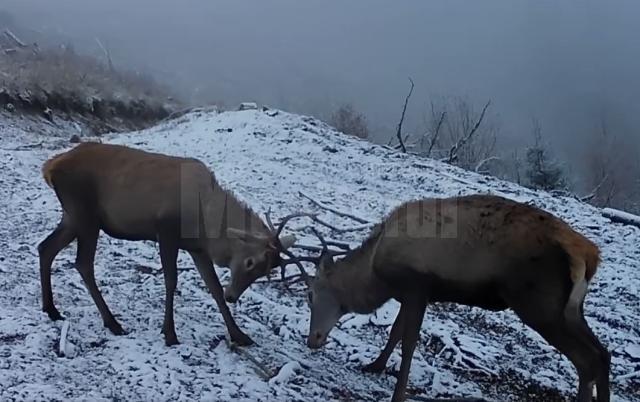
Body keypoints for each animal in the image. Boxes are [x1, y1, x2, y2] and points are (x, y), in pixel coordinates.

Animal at [37, 141, 302, 346]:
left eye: (266, 272)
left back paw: (51, 309)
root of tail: (49, 167)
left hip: (72, 216)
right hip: (86, 214)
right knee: (82, 263)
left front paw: (239, 334)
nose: (233, 297)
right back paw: (112, 322)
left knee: (45, 247)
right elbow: (171, 280)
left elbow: (213, 287)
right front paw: (169, 333)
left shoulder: (197, 248)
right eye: (250, 262)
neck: (206, 223)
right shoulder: (165, 231)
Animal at [304, 195, 608, 402]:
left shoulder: (417, 286)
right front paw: (375, 365)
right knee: (603, 353)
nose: (313, 339)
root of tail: (590, 255)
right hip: (570, 309)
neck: (377, 275)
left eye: (310, 293)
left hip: (539, 305)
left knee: (587, 360)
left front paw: (398, 394)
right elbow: (395, 332)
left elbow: (409, 343)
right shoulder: (412, 294)